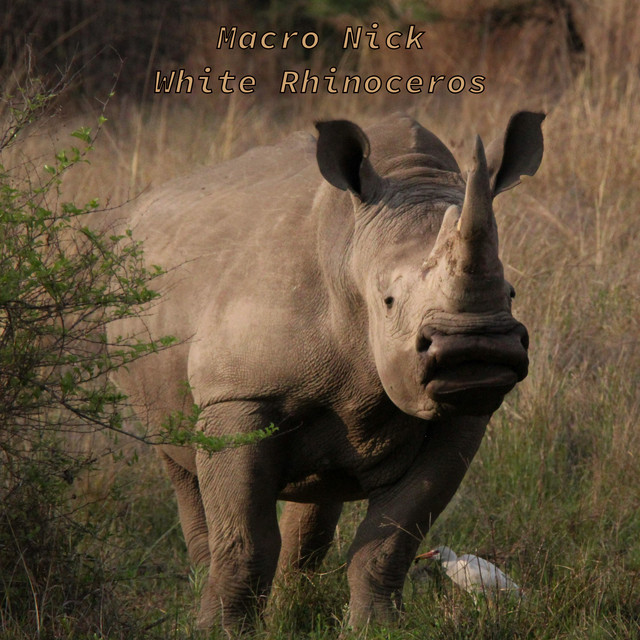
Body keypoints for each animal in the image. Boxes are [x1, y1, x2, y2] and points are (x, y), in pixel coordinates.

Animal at [110, 111, 544, 632]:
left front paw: (376, 630)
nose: (474, 349)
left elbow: (392, 537)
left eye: (511, 292)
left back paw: (285, 613)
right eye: (388, 301)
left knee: (318, 490)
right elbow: (244, 537)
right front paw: (220, 633)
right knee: (180, 467)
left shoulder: (462, 417)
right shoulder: (238, 394)